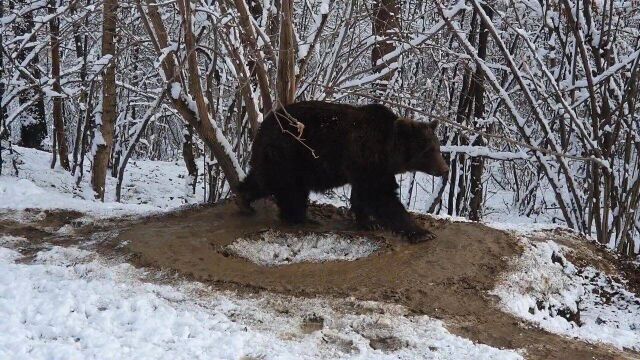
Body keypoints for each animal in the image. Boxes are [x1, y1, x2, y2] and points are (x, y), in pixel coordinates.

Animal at [236, 100, 450, 242]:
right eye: (428, 150)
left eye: (437, 147)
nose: (445, 169)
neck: (389, 153)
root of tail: (261, 127)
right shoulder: (368, 159)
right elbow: (381, 196)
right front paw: (422, 232)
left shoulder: (369, 167)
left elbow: (363, 194)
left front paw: (368, 221)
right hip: (289, 154)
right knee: (287, 188)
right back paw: (299, 218)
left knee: (264, 179)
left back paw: (245, 199)